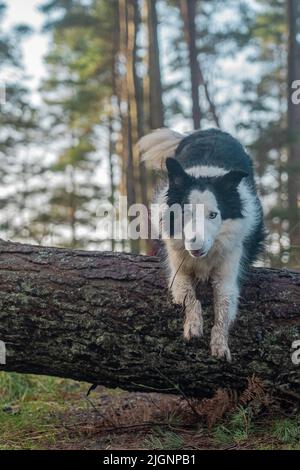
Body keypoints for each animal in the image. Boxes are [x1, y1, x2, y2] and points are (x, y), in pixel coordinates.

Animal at [138, 126, 264, 362]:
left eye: (213, 215)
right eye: (186, 213)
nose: (195, 246)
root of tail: (209, 130)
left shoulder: (228, 273)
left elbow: (223, 307)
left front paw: (220, 344)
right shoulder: (177, 270)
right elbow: (189, 296)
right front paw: (193, 326)